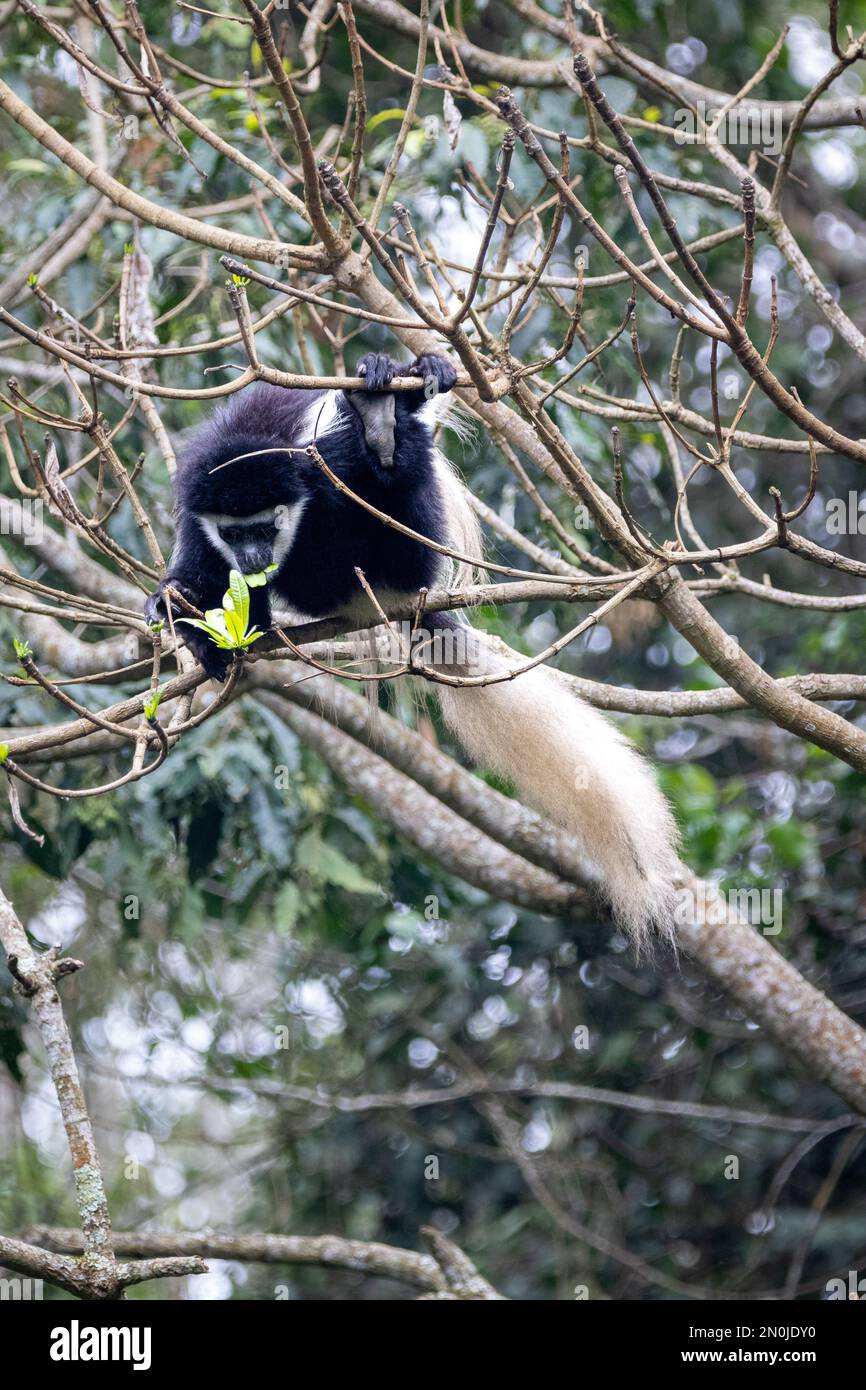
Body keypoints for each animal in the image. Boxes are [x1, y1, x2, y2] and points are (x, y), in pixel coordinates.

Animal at [147, 353, 678, 950]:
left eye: (264, 527)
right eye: (236, 534)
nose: (254, 556)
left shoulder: (318, 461)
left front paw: (394, 408)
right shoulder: (199, 515)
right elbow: (198, 572)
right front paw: (178, 608)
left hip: (398, 551)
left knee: (395, 508)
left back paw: (382, 434)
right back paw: (243, 626)